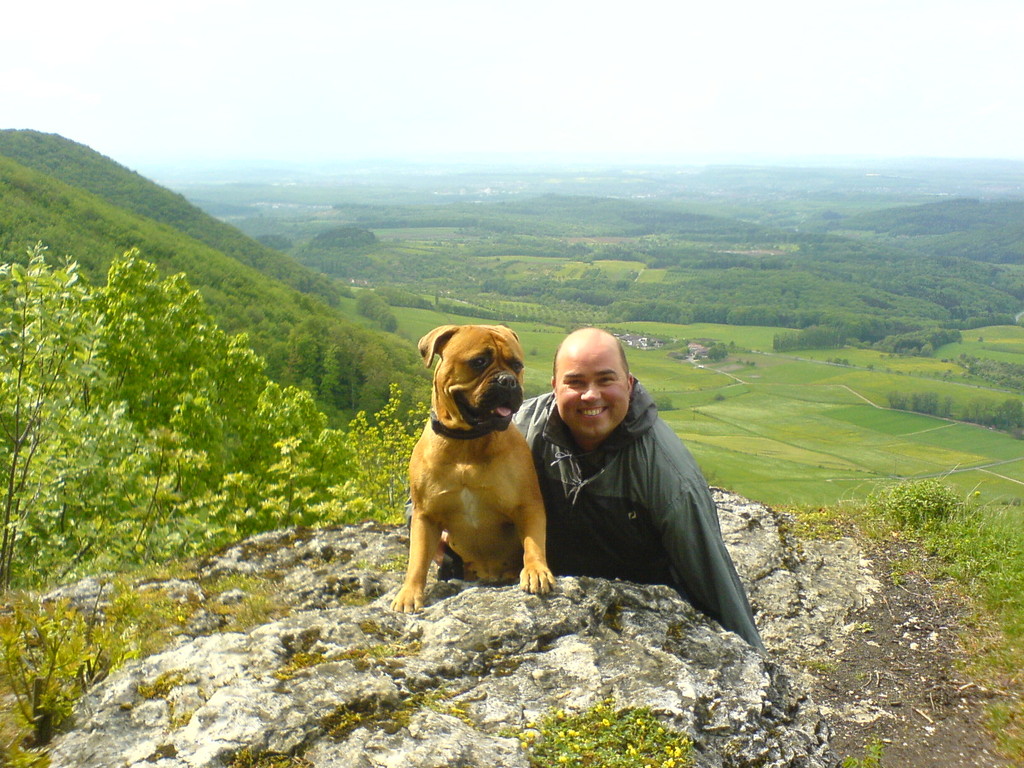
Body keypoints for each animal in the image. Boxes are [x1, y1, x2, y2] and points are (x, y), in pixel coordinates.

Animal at [391, 324, 555, 613]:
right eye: (479, 362)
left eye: (517, 365)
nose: (508, 380)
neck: (467, 443)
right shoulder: (425, 515)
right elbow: (417, 558)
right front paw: (409, 593)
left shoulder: (527, 504)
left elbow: (533, 542)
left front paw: (536, 571)